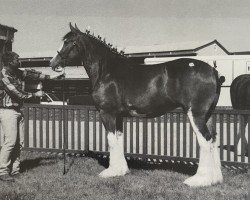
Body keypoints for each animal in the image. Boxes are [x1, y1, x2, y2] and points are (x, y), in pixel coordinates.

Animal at [50, 23, 225, 188]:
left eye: (68, 42)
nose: (53, 63)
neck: (106, 70)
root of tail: (213, 71)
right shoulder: (119, 116)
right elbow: (119, 139)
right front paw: (121, 170)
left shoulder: (107, 113)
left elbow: (111, 140)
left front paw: (110, 171)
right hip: (208, 115)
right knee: (213, 140)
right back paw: (215, 179)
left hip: (195, 114)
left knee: (205, 141)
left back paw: (199, 180)